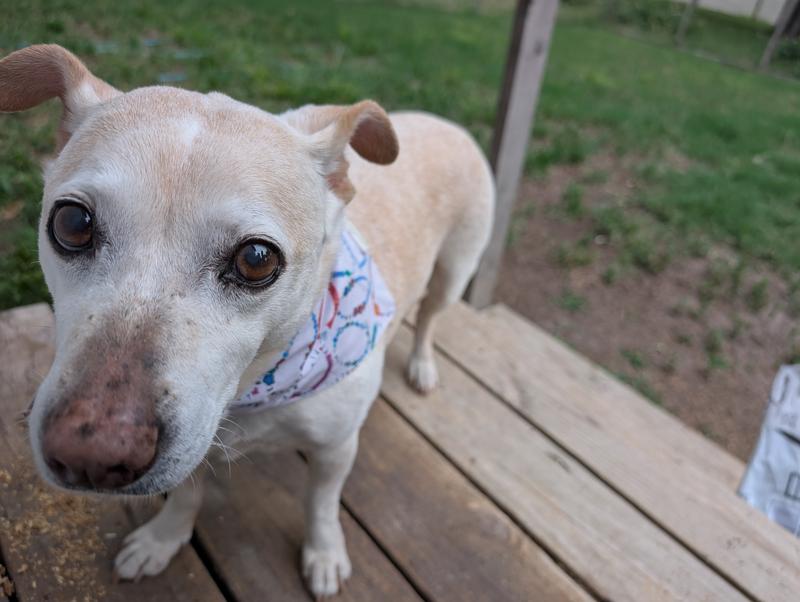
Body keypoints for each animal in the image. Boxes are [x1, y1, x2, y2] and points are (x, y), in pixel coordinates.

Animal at [0, 44, 494, 597]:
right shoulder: (196, 445)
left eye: (257, 259)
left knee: (430, 319)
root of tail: (442, 121)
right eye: (71, 223)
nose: (92, 455)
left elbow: (322, 505)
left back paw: (423, 367)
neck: (254, 389)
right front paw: (162, 540)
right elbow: (186, 495)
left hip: (454, 272)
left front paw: (324, 554)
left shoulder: (335, 449)